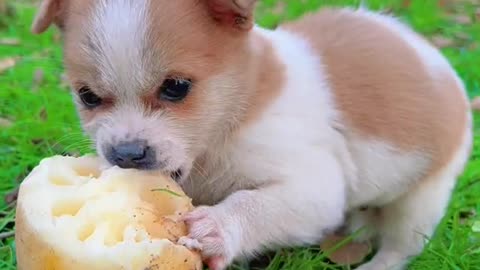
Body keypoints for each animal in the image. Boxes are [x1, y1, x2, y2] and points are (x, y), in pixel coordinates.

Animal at [31, 0, 472, 270]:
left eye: (176, 87)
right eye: (88, 97)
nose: (125, 153)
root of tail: (423, 48)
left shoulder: (314, 189)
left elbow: (255, 204)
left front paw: (218, 228)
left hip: (423, 198)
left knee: (402, 244)